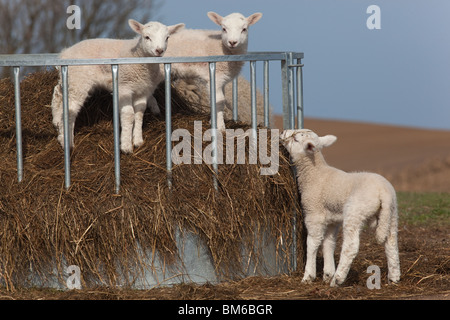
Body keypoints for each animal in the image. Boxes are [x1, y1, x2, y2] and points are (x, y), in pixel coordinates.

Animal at [51, 19, 185, 153]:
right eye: (147, 37)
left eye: (167, 38)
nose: (159, 50)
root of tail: (64, 53)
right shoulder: (124, 87)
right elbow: (129, 114)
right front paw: (126, 146)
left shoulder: (143, 90)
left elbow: (139, 113)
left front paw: (137, 141)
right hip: (79, 80)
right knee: (70, 109)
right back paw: (66, 142)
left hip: (71, 80)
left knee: (58, 96)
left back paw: (57, 125)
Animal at [282, 129, 400, 286]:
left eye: (295, 139)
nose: (283, 133)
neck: (315, 173)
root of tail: (384, 191)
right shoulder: (332, 219)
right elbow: (328, 243)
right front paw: (327, 274)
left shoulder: (314, 213)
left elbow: (313, 243)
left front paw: (309, 276)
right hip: (390, 214)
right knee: (391, 241)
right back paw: (394, 277)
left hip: (355, 211)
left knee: (351, 246)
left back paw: (338, 279)